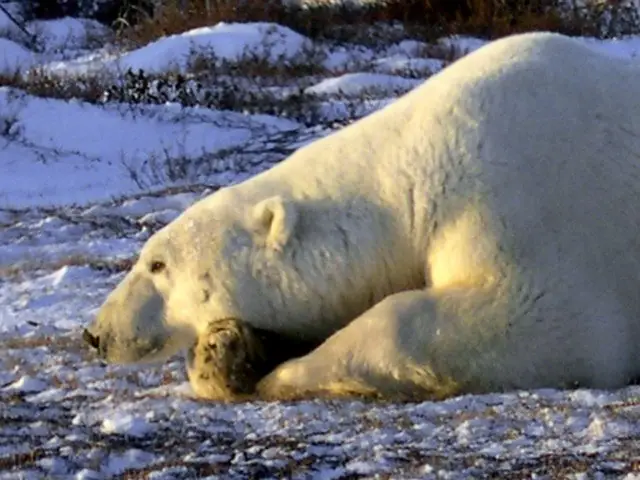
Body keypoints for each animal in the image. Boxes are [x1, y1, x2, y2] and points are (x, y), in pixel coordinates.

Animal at [85, 31, 640, 402]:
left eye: (158, 264)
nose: (96, 334)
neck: (414, 175)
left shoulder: (522, 199)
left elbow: (543, 318)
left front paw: (280, 372)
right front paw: (229, 353)